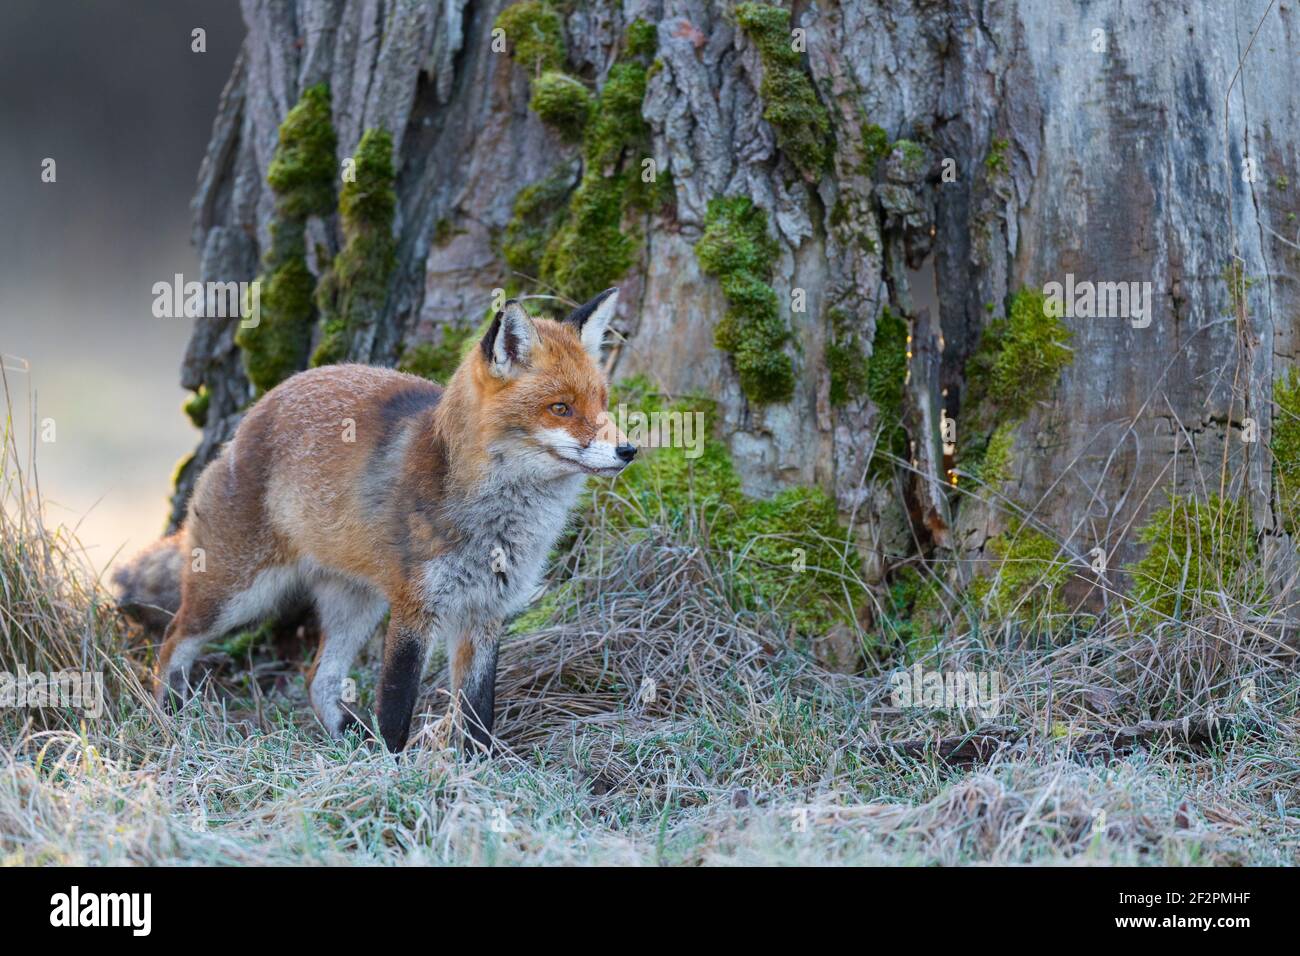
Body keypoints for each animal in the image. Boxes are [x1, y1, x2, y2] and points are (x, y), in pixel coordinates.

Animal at [116, 287, 634, 749]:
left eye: (602, 403)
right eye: (560, 408)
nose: (629, 451)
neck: (499, 524)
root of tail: (255, 415)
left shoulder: (487, 612)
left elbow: (478, 714)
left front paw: (477, 773)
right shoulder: (414, 606)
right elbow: (397, 705)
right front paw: (393, 771)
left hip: (356, 604)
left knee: (318, 678)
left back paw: (348, 739)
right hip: (236, 594)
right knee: (173, 642)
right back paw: (170, 719)